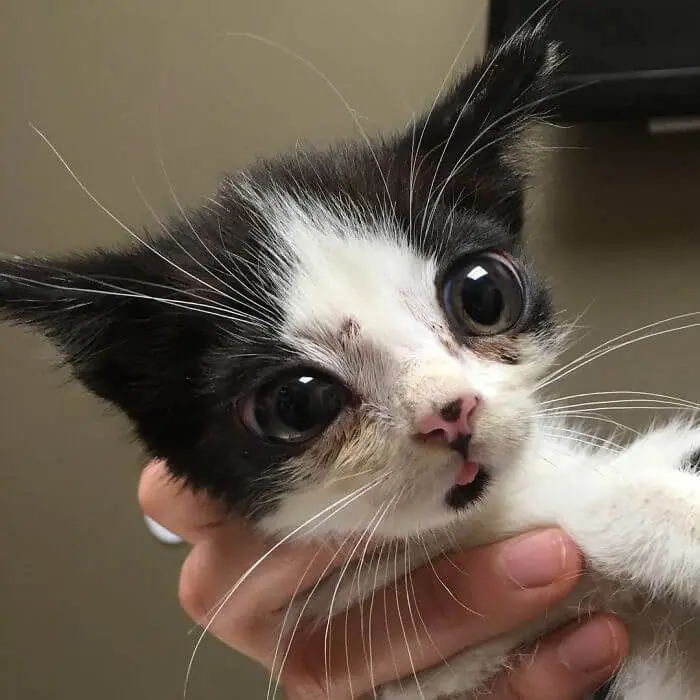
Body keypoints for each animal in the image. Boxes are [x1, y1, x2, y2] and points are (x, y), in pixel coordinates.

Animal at [1, 21, 700, 700]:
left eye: (483, 294)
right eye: (296, 402)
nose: (451, 410)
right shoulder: (416, 652)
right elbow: (560, 502)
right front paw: (672, 512)